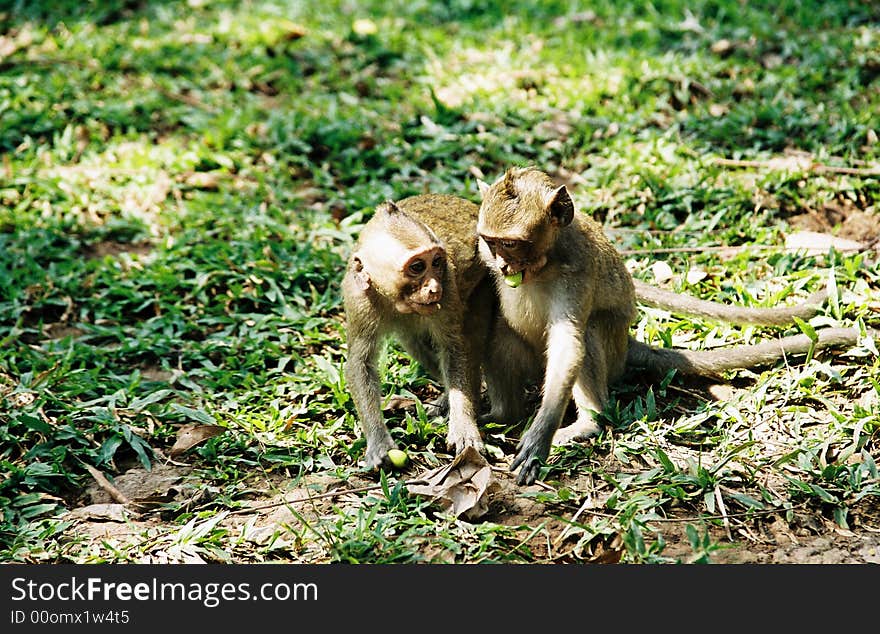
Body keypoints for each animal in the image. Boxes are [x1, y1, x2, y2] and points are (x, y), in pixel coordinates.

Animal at [344, 193, 496, 470]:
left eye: (436, 262)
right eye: (416, 267)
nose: (434, 288)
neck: (391, 298)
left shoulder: (449, 286)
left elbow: (455, 348)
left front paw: (463, 427)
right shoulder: (358, 297)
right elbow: (360, 362)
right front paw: (379, 441)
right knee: (413, 340)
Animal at [474, 165, 868, 482]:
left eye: (512, 244)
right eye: (491, 242)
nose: (503, 266)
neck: (545, 261)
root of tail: (627, 346)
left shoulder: (576, 271)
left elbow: (569, 342)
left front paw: (540, 437)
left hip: (612, 355)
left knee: (588, 333)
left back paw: (588, 422)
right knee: (500, 336)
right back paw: (502, 414)